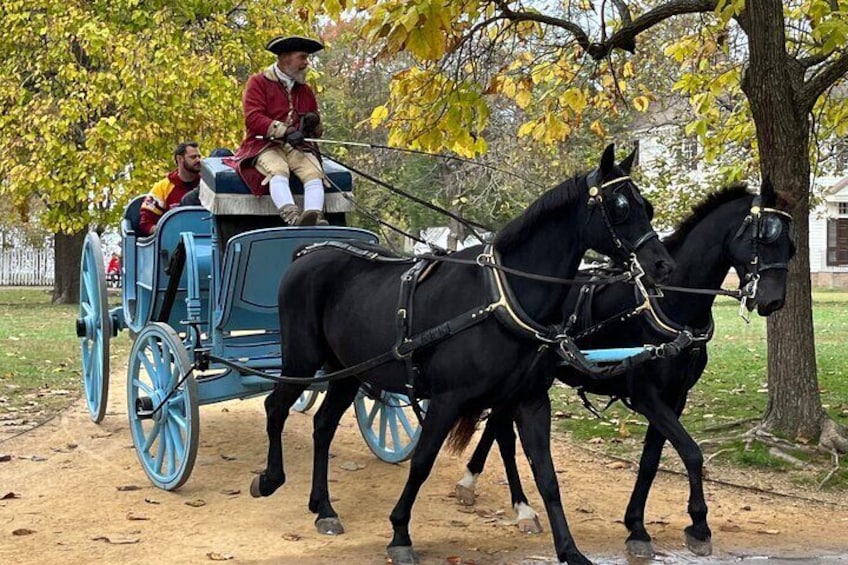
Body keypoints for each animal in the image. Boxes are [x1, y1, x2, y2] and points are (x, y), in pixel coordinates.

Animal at [252, 143, 676, 560]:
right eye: (619, 206)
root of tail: (309, 251)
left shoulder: (530, 402)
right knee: (276, 406)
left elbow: (547, 477)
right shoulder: (447, 399)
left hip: (348, 370)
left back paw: (323, 507)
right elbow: (422, 462)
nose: (662, 265)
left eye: (647, 205)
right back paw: (270, 479)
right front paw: (400, 533)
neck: (501, 297)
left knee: (323, 426)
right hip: (303, 359)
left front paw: (570, 550)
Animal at [458, 178, 796, 556]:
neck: (669, 303)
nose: (772, 300)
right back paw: (509, 501)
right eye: (764, 235)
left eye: (791, 244)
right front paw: (698, 525)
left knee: (497, 427)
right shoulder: (647, 396)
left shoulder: (675, 398)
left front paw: (637, 525)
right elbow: (692, 453)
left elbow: (651, 460)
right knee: (503, 433)